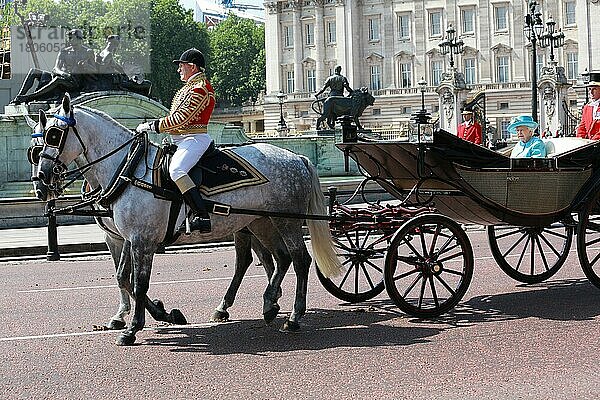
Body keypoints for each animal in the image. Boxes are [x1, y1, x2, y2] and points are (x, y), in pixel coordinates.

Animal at [31, 94, 342, 346]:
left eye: (54, 135)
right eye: (36, 144)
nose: (42, 182)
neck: (127, 169)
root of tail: (296, 156)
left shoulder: (141, 239)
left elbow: (138, 282)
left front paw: (134, 328)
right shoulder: (124, 237)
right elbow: (124, 278)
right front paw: (156, 314)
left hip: (286, 221)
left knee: (299, 260)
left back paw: (293, 316)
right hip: (259, 222)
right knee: (276, 258)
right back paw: (268, 304)